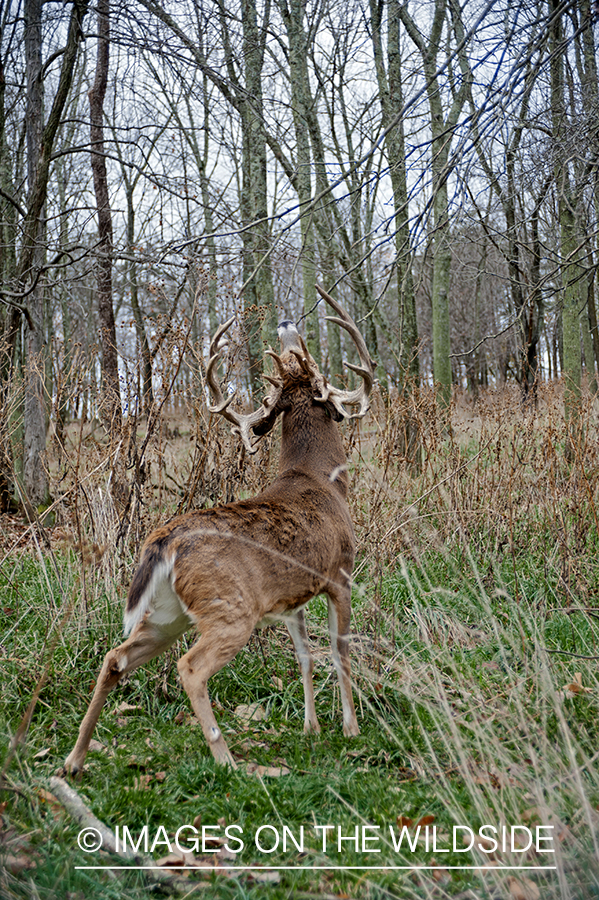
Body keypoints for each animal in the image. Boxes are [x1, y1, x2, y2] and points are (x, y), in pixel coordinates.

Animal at [67, 284, 376, 772]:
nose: (286, 322)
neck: (320, 477)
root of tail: (164, 541)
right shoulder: (340, 573)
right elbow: (339, 651)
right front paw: (349, 728)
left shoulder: (291, 596)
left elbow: (305, 656)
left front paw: (310, 728)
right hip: (230, 610)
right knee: (189, 668)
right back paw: (227, 759)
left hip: (167, 612)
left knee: (115, 656)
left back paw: (75, 758)